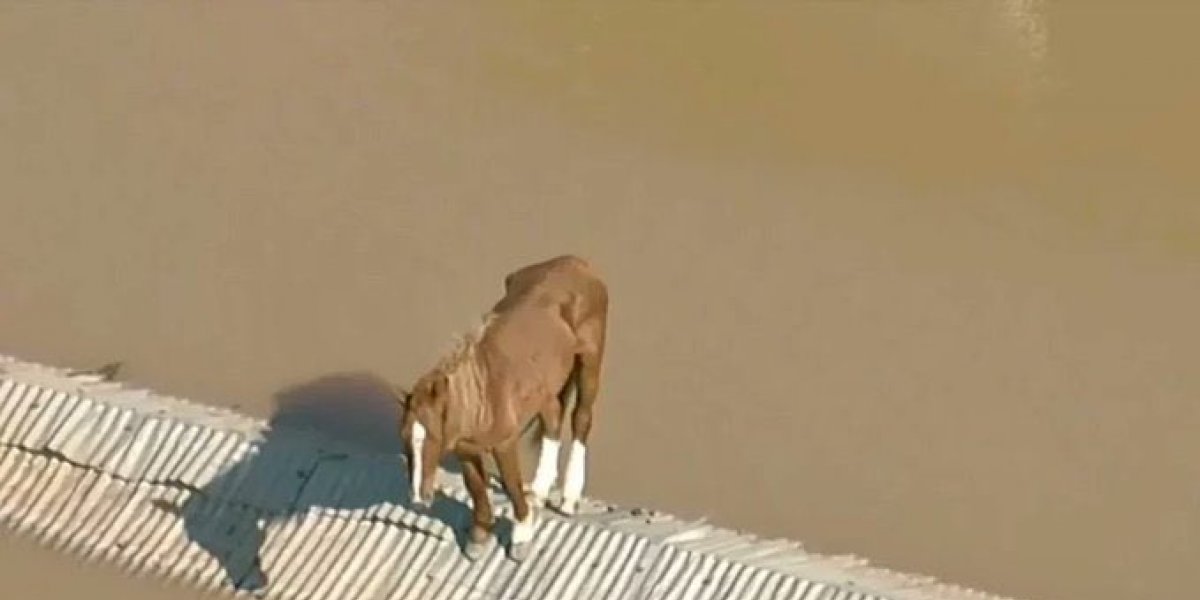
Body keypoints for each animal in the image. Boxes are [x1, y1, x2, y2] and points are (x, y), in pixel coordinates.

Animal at [396, 255, 608, 561]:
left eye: (432, 437)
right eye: (403, 439)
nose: (417, 500)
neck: (483, 391)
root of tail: (576, 263)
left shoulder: (504, 443)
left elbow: (510, 484)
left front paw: (522, 536)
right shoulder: (466, 449)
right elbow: (475, 486)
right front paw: (479, 537)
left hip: (590, 360)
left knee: (581, 419)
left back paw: (568, 498)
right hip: (546, 390)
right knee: (553, 421)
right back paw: (540, 490)